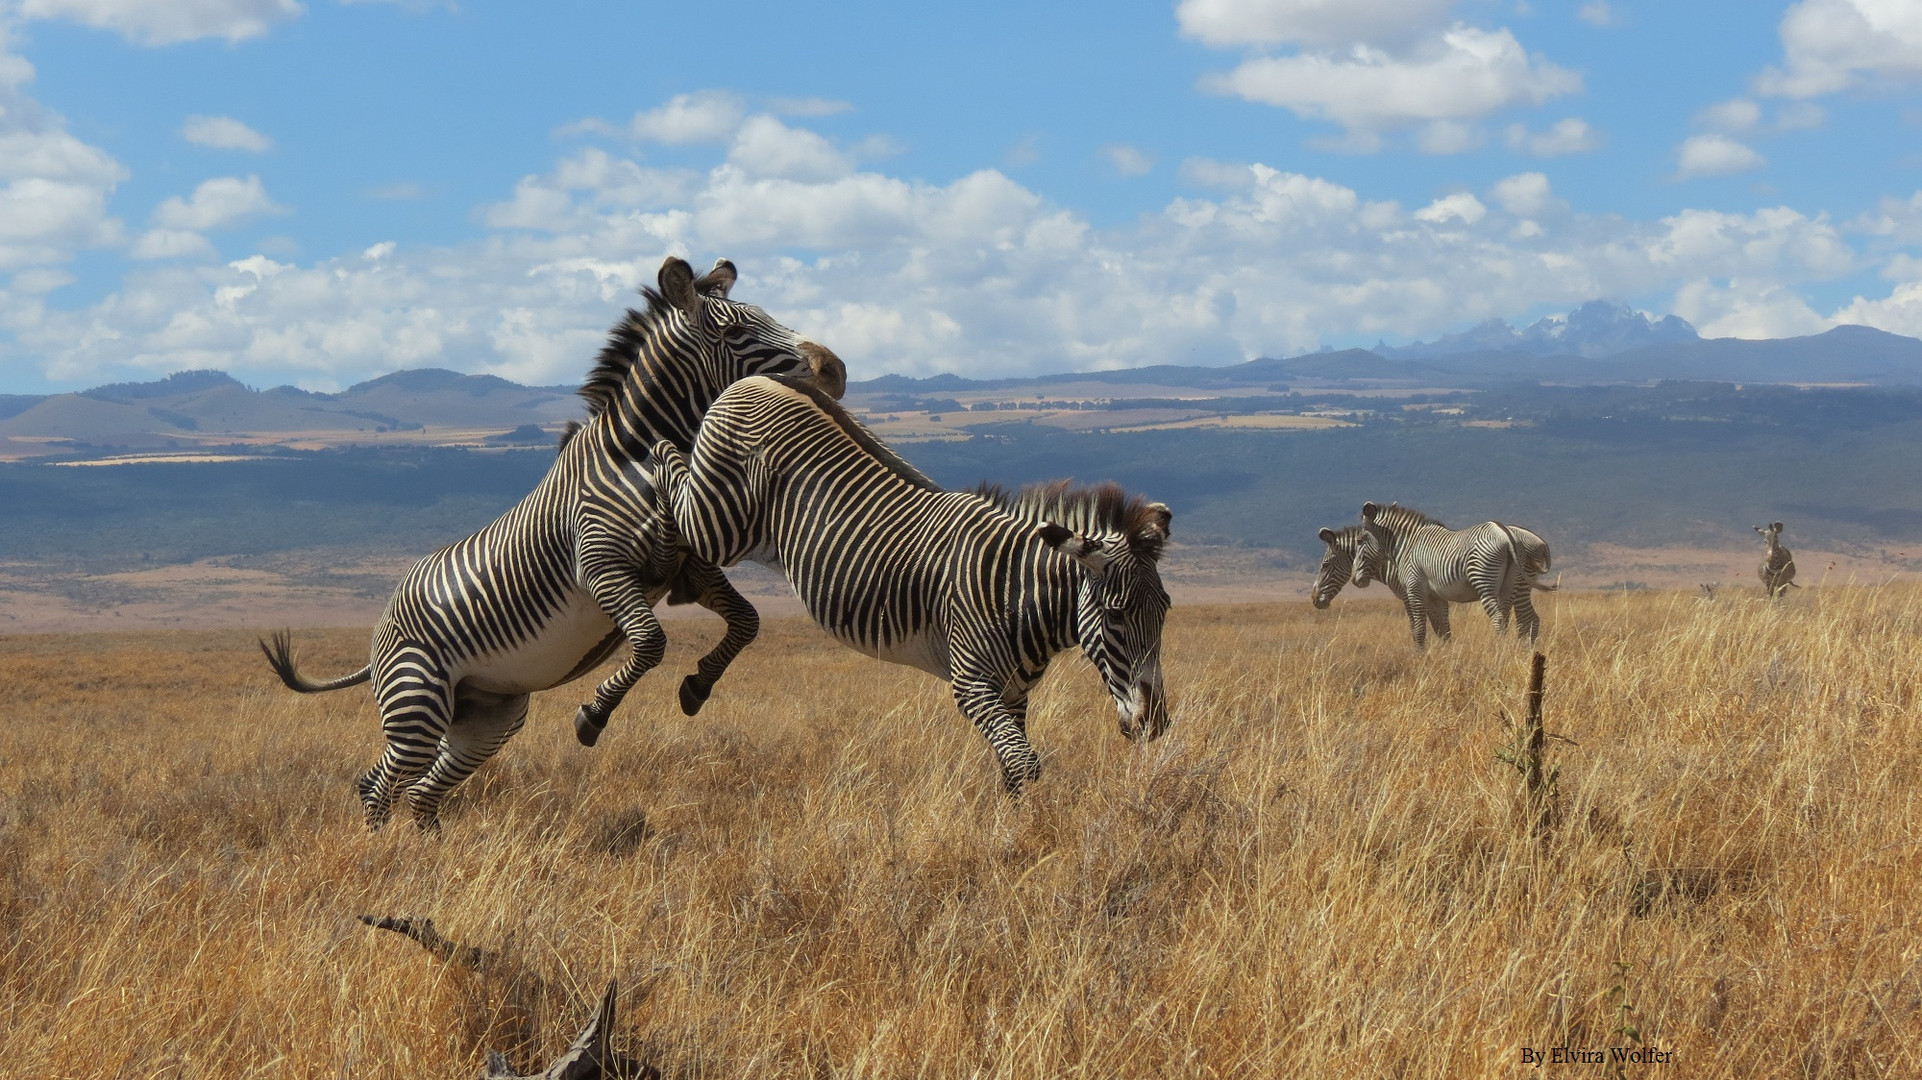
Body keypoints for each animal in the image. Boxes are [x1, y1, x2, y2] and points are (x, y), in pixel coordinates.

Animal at [261, 255, 841, 826]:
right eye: (736, 331)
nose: (833, 370)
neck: (636, 457)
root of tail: (381, 630)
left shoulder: (686, 569)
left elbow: (748, 621)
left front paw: (697, 688)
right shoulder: (601, 566)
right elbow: (651, 642)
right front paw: (593, 716)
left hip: (488, 714)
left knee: (422, 791)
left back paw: (426, 848)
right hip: (416, 698)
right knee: (380, 784)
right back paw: (384, 852)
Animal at [653, 376, 1176, 791]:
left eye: (1165, 613)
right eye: (1115, 614)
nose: (1155, 725)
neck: (1014, 588)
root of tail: (756, 379)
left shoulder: (1013, 694)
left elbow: (1013, 769)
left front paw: (1013, 830)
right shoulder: (973, 685)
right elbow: (1026, 764)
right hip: (719, 521)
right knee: (675, 478)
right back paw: (652, 447)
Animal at [1345, 499, 1552, 641]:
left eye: (1359, 541)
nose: (1355, 579)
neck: (1407, 546)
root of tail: (1505, 533)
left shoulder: (1413, 590)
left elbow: (1419, 629)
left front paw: (1420, 659)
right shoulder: (1436, 596)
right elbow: (1443, 629)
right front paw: (1446, 656)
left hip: (1485, 582)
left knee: (1501, 619)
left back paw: (1500, 651)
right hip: (1509, 585)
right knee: (1517, 618)